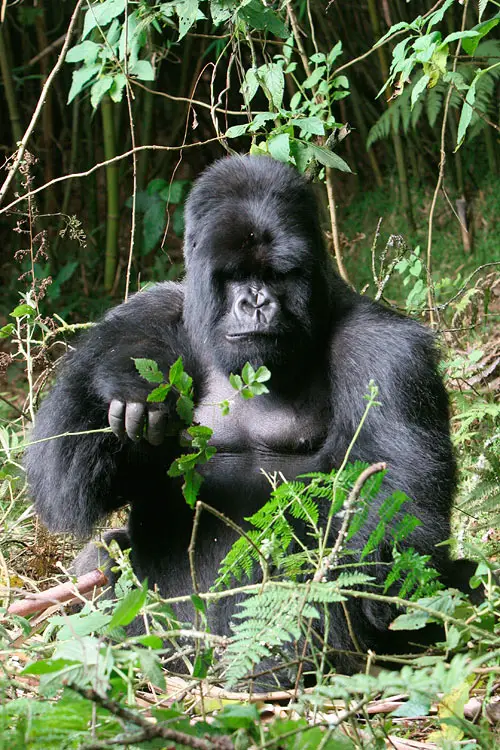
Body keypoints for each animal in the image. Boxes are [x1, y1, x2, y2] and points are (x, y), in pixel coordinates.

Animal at [25, 156, 472, 684]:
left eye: (279, 275)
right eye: (235, 275)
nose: (256, 302)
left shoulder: (387, 351)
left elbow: (390, 526)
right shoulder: (143, 309)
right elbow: (64, 477)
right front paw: (130, 378)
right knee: (99, 559)